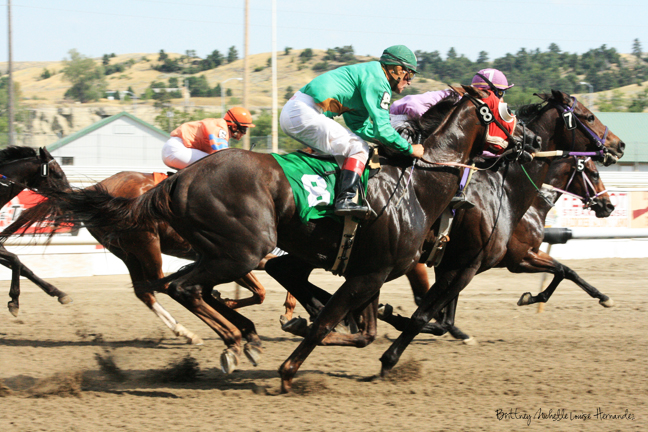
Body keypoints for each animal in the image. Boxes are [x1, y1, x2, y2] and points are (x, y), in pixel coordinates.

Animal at [0, 147, 71, 316]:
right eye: (58, 174)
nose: (69, 195)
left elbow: (23, 267)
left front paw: (58, 293)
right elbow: (16, 260)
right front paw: (14, 300)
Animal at [378, 89, 624, 376]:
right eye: (590, 116)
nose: (608, 205)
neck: (507, 190)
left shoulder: (460, 261)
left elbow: (565, 270)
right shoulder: (516, 258)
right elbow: (563, 270)